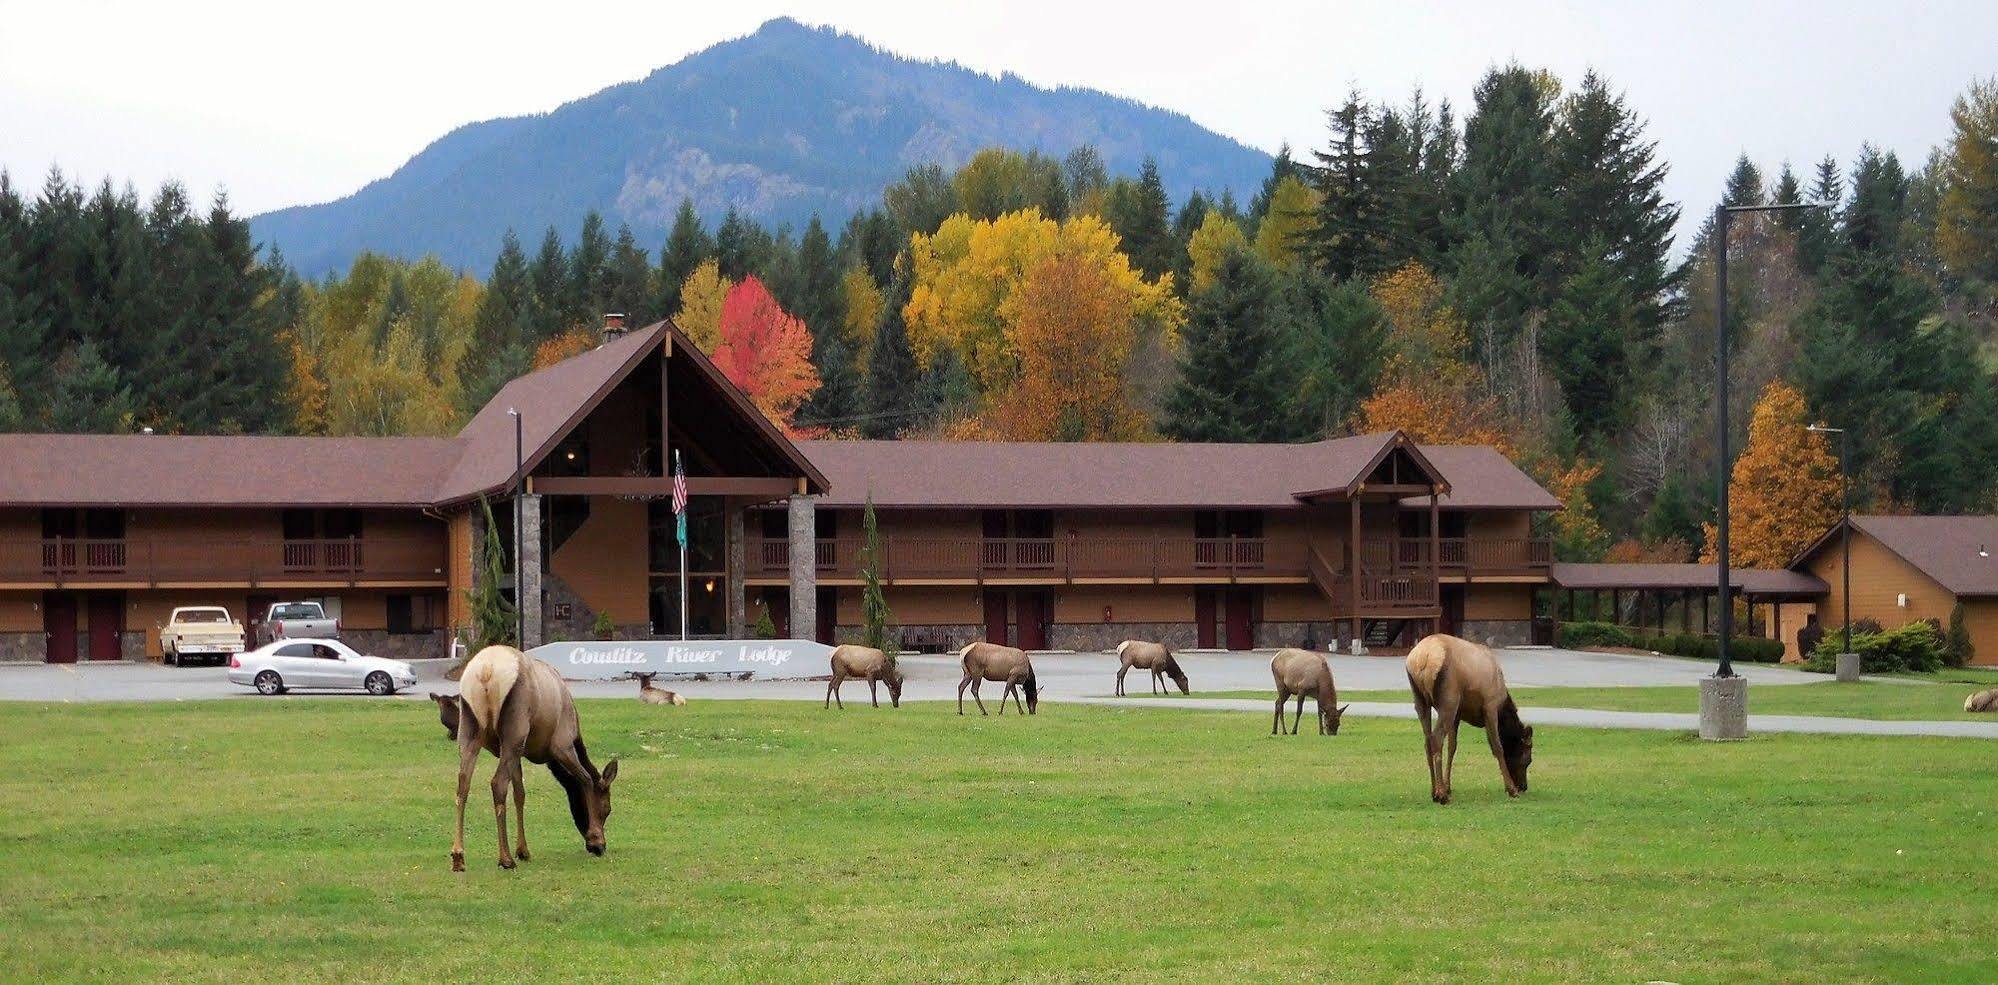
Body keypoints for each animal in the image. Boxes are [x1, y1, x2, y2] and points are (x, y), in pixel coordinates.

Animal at [451, 643, 615, 867]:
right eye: (607, 809)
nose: (600, 848)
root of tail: (486, 671)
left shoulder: (518, 753)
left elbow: (520, 794)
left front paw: (523, 850)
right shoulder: (561, 745)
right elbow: (586, 779)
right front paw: (595, 837)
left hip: (470, 729)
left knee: (463, 784)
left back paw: (458, 855)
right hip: (515, 728)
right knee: (497, 783)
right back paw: (505, 858)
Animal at [1398, 635, 1534, 803]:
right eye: (1528, 758)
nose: (1523, 786)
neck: (1502, 705)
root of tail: (1423, 658)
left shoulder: (1458, 714)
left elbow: (1452, 747)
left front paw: (1448, 786)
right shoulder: (1490, 706)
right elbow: (1497, 747)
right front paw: (1511, 789)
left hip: (1420, 700)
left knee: (1427, 740)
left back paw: (1434, 791)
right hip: (1448, 700)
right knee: (1436, 738)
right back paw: (1441, 796)